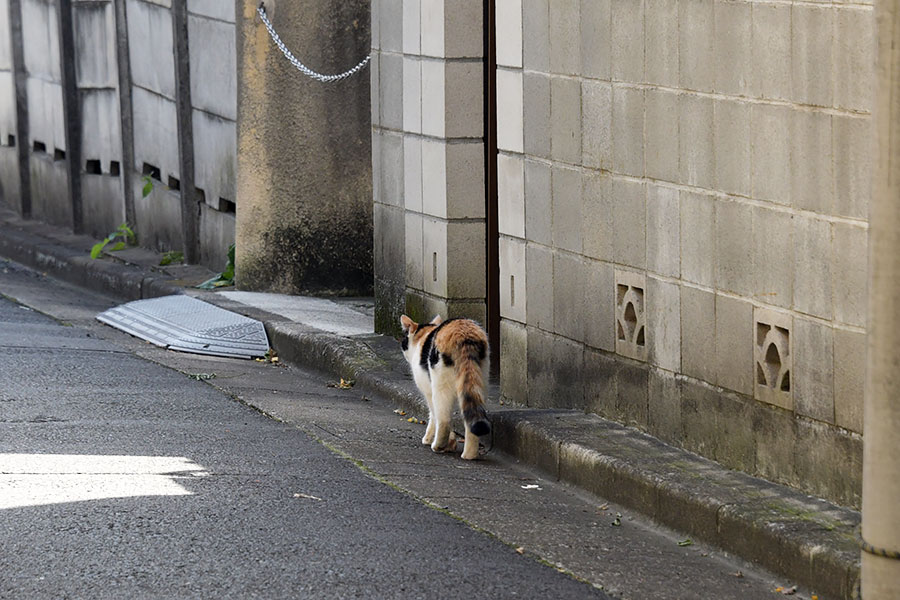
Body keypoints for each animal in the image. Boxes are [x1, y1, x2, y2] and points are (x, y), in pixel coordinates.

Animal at [400, 314, 492, 460]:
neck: (423, 336)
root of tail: (463, 334)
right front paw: (451, 444)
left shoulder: (429, 392)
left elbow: (433, 416)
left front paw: (433, 440)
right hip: (478, 382)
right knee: (470, 418)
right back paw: (469, 455)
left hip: (440, 386)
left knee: (444, 420)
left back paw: (437, 446)